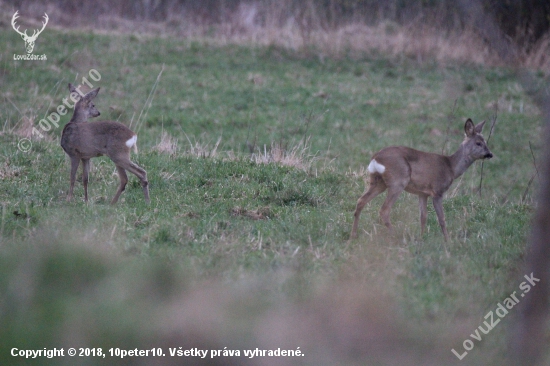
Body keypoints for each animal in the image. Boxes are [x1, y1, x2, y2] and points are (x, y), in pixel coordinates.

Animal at [354, 118, 496, 242]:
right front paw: (448, 241)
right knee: (384, 210)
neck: (451, 167)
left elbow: (423, 217)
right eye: (478, 143)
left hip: (378, 181)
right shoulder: (437, 191)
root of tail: (375, 158)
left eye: (485, 142)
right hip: (398, 181)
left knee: (361, 201)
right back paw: (396, 237)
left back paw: (353, 236)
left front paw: (422, 238)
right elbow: (441, 218)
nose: (490, 154)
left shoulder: (422, 193)